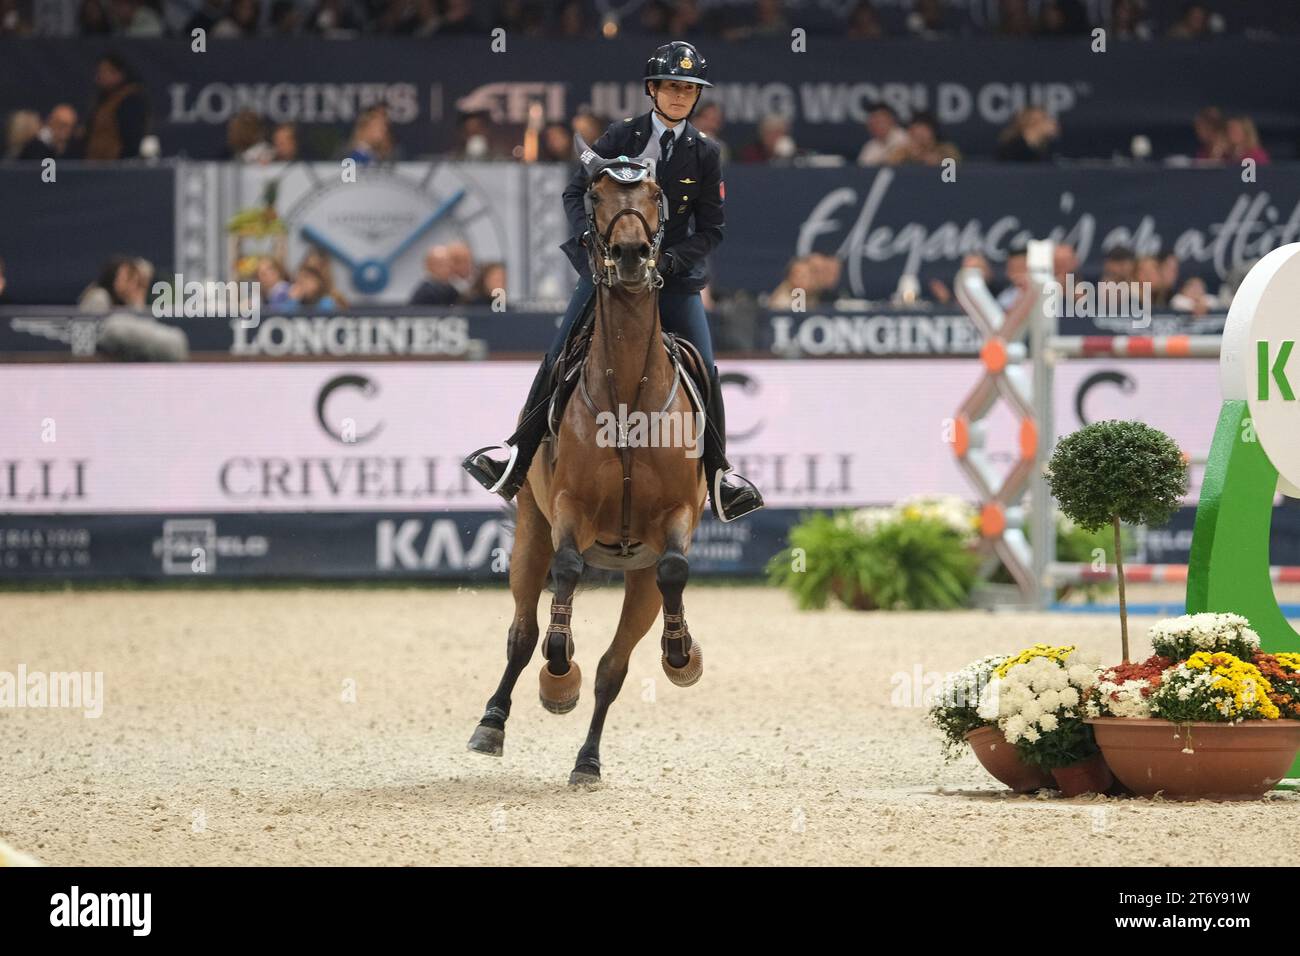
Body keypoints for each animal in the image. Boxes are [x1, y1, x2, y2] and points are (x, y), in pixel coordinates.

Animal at [470, 141, 712, 785]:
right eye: (597, 195)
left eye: (656, 194)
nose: (630, 255)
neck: (627, 395)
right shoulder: (568, 509)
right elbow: (567, 572)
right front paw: (559, 676)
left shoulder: (675, 519)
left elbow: (674, 570)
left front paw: (682, 654)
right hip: (530, 529)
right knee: (523, 631)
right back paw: (494, 720)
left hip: (637, 579)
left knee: (613, 667)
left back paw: (588, 760)